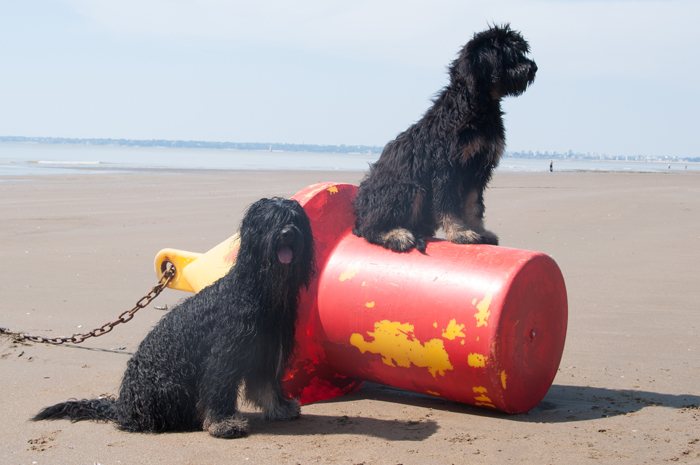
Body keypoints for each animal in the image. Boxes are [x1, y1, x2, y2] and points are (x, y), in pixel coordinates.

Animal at [32, 198, 316, 436]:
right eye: (272, 220)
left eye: (293, 219)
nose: (287, 233)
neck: (257, 291)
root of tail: (123, 408)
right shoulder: (224, 354)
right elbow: (218, 390)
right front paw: (223, 423)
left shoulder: (266, 351)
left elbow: (267, 386)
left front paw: (279, 409)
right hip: (171, 386)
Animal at [352, 23, 540, 252]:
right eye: (510, 55)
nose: (532, 68)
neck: (474, 107)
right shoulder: (446, 167)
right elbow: (447, 204)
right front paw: (460, 233)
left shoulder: (478, 168)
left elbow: (473, 205)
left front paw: (479, 231)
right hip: (407, 186)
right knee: (369, 228)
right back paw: (395, 235)